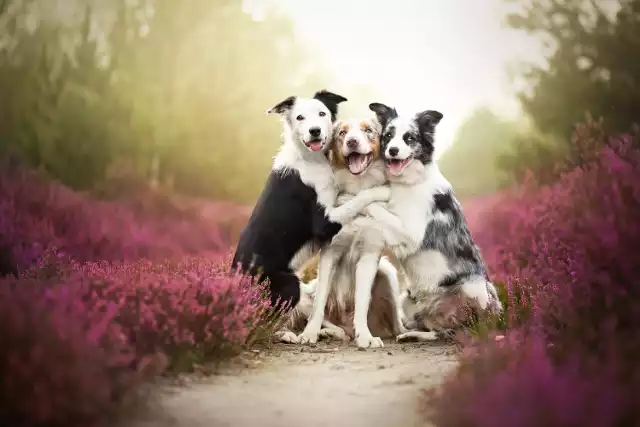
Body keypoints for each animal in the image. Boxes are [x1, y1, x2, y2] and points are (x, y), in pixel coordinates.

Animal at [230, 90, 390, 312]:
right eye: (300, 117)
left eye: (322, 113)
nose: (315, 131)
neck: (310, 159)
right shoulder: (324, 222)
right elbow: (359, 198)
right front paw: (382, 190)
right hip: (288, 283)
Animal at [358, 103, 502, 342]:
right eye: (388, 136)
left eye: (409, 138)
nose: (392, 150)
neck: (407, 183)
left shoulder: (410, 233)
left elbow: (378, 209)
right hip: (406, 300)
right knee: (435, 330)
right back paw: (411, 334)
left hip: (474, 287)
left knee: (459, 331)